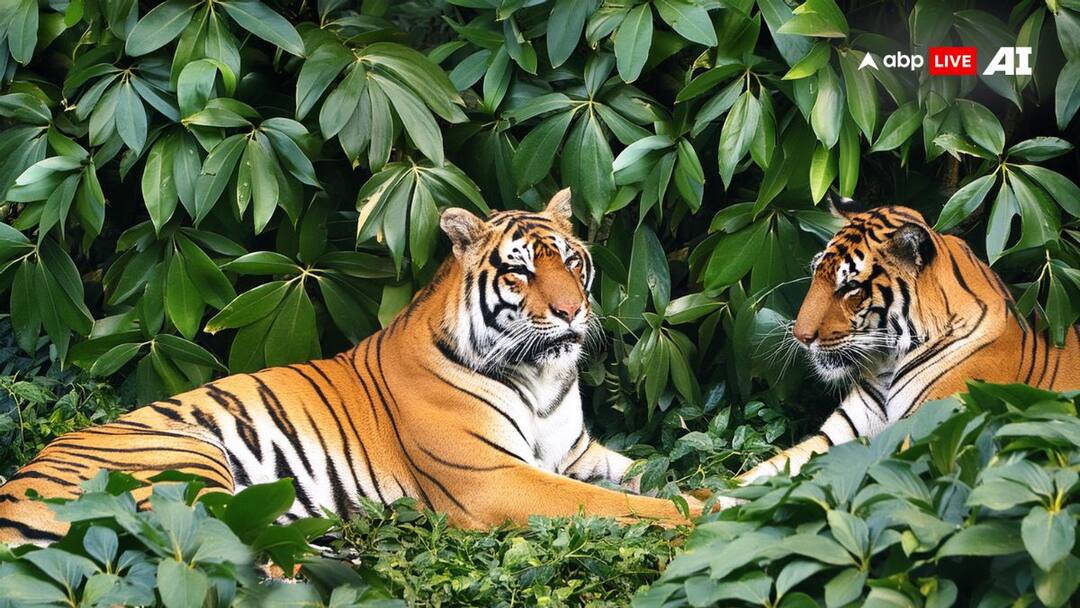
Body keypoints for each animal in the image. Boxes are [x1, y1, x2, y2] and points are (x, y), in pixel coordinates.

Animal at [0, 189, 701, 546]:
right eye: (521, 270)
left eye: (572, 261)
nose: (572, 310)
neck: (541, 377)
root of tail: (16, 486)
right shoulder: (496, 478)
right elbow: (619, 505)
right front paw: (702, 517)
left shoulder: (580, 453)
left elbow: (647, 477)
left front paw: (721, 491)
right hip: (184, 463)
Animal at [738, 196, 1080, 483]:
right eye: (815, 272)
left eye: (850, 287)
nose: (800, 336)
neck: (888, 363)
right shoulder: (839, 437)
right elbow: (752, 478)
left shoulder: (930, 439)